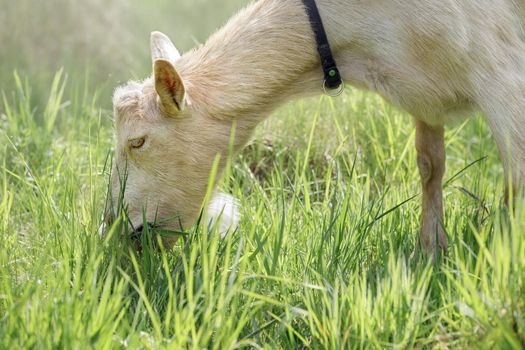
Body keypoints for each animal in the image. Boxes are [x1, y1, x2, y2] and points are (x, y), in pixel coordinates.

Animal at [110, 0, 524, 258]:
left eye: (138, 141)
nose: (113, 232)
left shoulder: (503, 74)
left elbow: (515, 179)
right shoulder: (423, 95)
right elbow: (430, 167)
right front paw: (431, 251)